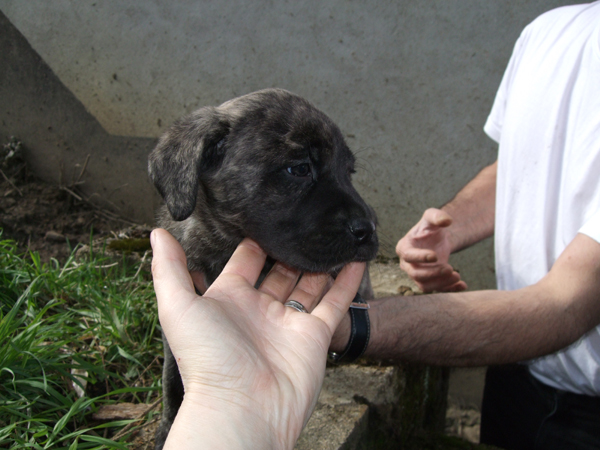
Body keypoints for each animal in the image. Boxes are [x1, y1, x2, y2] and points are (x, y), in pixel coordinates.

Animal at [148, 87, 378, 446]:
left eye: (348, 171)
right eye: (299, 169)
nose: (369, 228)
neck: (226, 244)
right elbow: (172, 378)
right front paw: (168, 427)